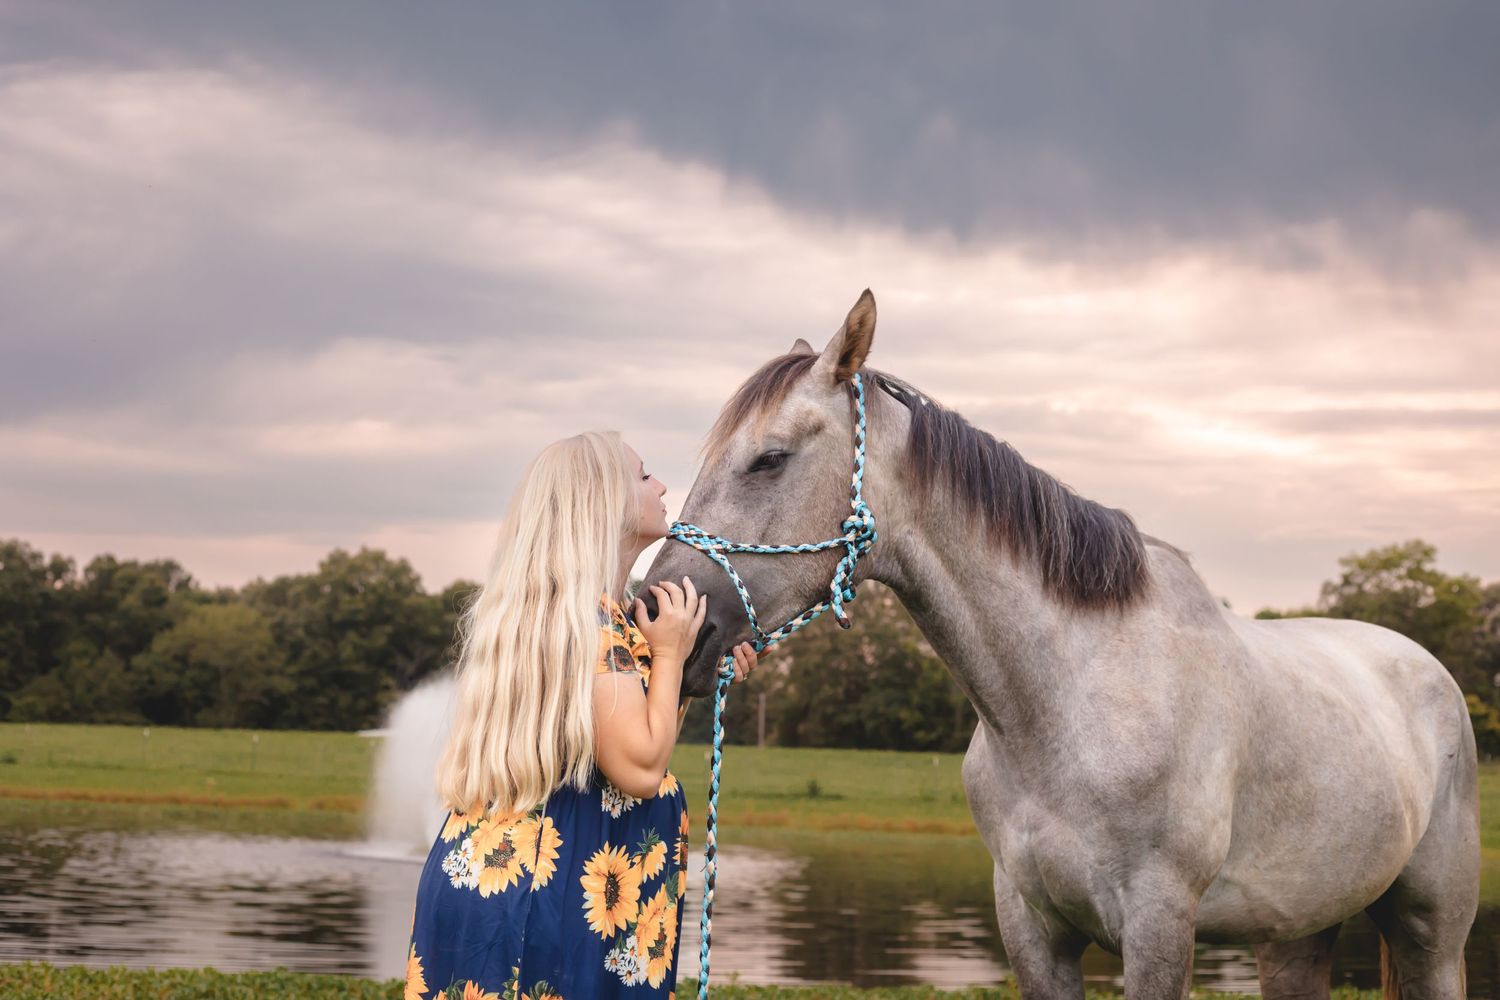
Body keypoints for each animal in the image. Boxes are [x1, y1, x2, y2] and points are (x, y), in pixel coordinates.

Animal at [643, 290, 1478, 1000]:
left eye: (771, 457)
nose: (656, 616)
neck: (1069, 702)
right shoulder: (1031, 926)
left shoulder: (1159, 925)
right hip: (1297, 933)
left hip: (1432, 932)